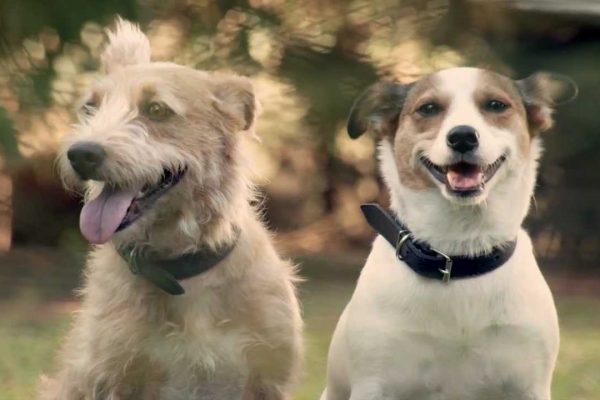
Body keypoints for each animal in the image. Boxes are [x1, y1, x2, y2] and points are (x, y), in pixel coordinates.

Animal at [38, 18, 300, 400]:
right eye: (90, 109)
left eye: (157, 110)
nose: (82, 154)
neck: (181, 271)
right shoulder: (111, 378)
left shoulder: (267, 380)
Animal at [322, 68, 576, 400]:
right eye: (429, 108)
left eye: (496, 105)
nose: (463, 136)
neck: (457, 255)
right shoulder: (375, 383)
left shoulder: (528, 383)